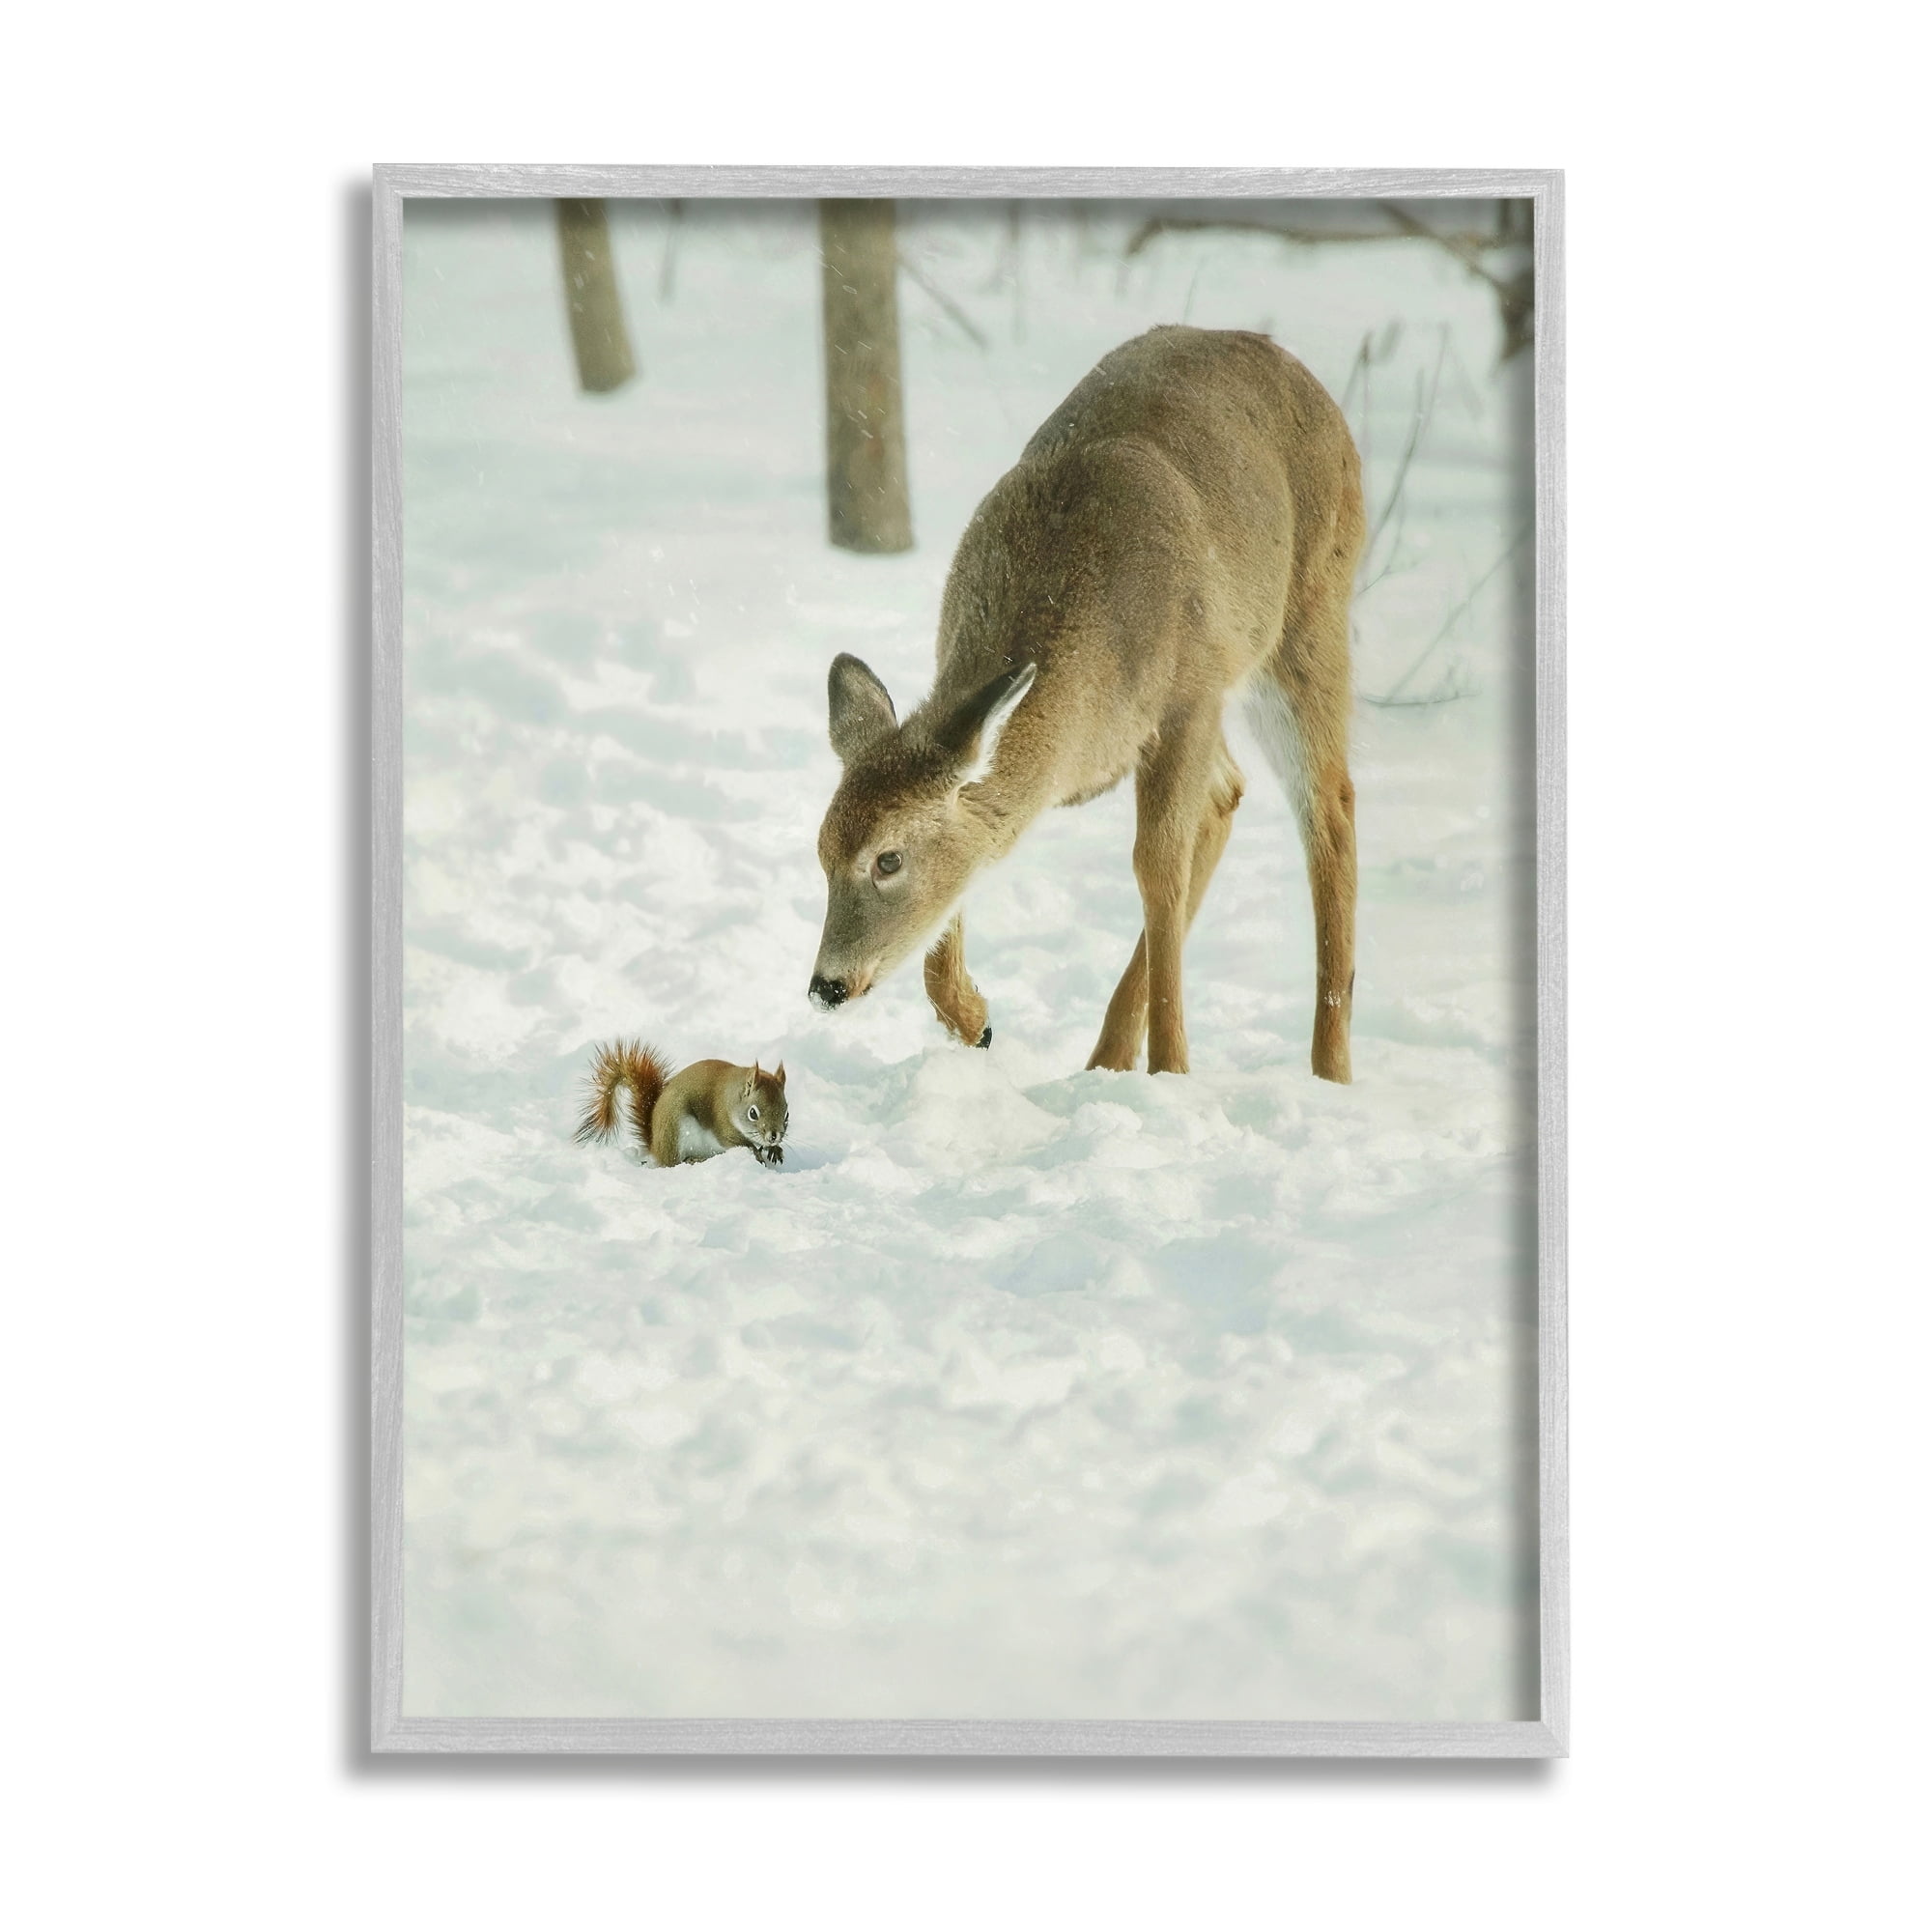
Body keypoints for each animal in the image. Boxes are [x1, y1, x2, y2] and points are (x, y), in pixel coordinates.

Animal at [574, 1039, 788, 1168]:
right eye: (753, 1113)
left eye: (787, 1114)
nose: (774, 1136)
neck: (732, 1099)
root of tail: (656, 1146)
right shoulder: (722, 1125)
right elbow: (738, 1142)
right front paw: (757, 1153)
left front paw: (775, 1150)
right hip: (675, 1129)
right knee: (674, 1162)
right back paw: (695, 1159)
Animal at [808, 324, 1363, 1083]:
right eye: (821, 851)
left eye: (888, 859)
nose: (826, 986)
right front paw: (975, 1021)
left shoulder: (1190, 696)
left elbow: (1156, 869)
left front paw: (1172, 1072)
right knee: (1231, 793)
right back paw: (1105, 1059)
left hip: (1307, 620)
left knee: (1328, 809)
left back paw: (1329, 1070)